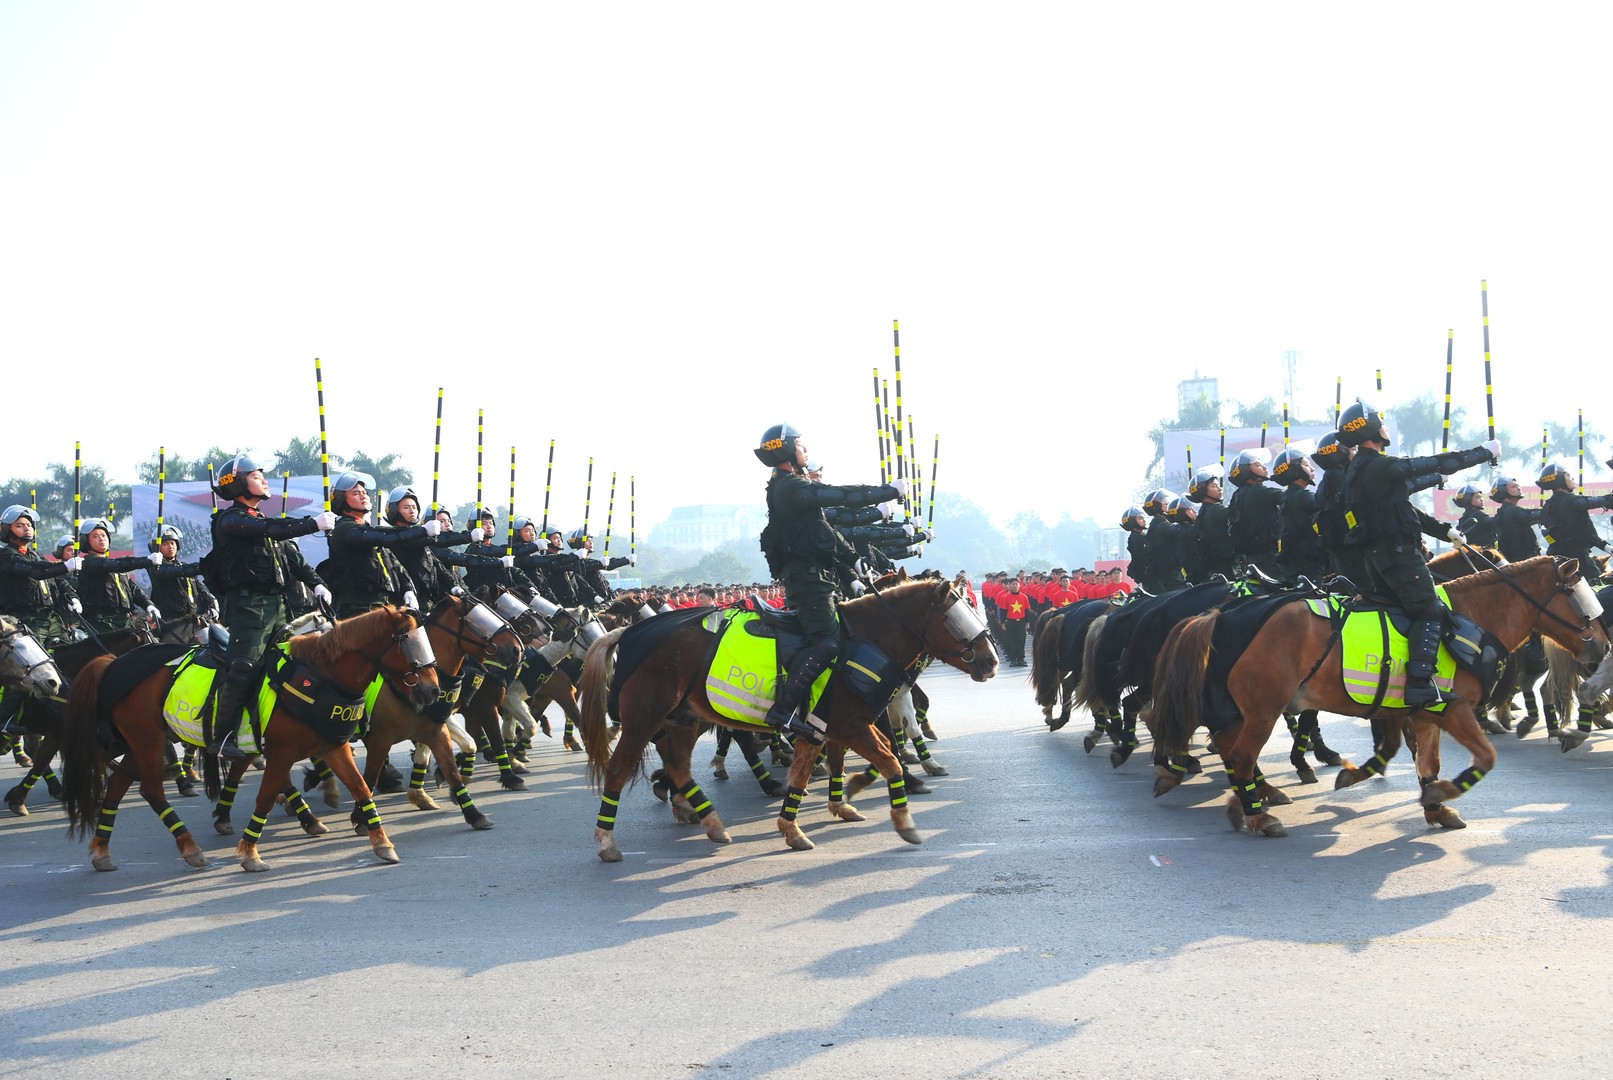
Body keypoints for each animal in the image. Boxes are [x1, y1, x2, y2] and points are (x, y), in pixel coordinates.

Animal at [59, 605, 441, 872]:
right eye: (409, 643)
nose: (434, 691)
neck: (318, 678)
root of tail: (112, 662)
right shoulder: (282, 752)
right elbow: (265, 797)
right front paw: (250, 852)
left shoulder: (333, 746)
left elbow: (361, 788)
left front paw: (381, 843)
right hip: (148, 741)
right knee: (150, 790)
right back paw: (190, 847)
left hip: (141, 743)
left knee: (118, 784)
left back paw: (102, 850)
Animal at [575, 575, 998, 862]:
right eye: (954, 616)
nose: (991, 660)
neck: (859, 640)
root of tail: (626, 632)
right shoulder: (852, 725)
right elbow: (889, 758)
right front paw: (903, 819)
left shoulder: (828, 727)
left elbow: (816, 769)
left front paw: (811, 817)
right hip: (644, 717)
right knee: (619, 769)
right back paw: (607, 840)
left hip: (685, 719)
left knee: (678, 762)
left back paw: (707, 818)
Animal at [1146, 555, 1607, 836]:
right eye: (1580, 599)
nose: (1602, 647)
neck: (1468, 619)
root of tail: (1221, 614)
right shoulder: (1453, 710)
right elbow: (1484, 759)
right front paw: (1441, 795)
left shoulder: (1420, 713)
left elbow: (1423, 761)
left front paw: (1432, 805)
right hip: (1263, 709)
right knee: (1239, 755)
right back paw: (1258, 814)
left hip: (1244, 710)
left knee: (1228, 747)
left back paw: (1241, 799)